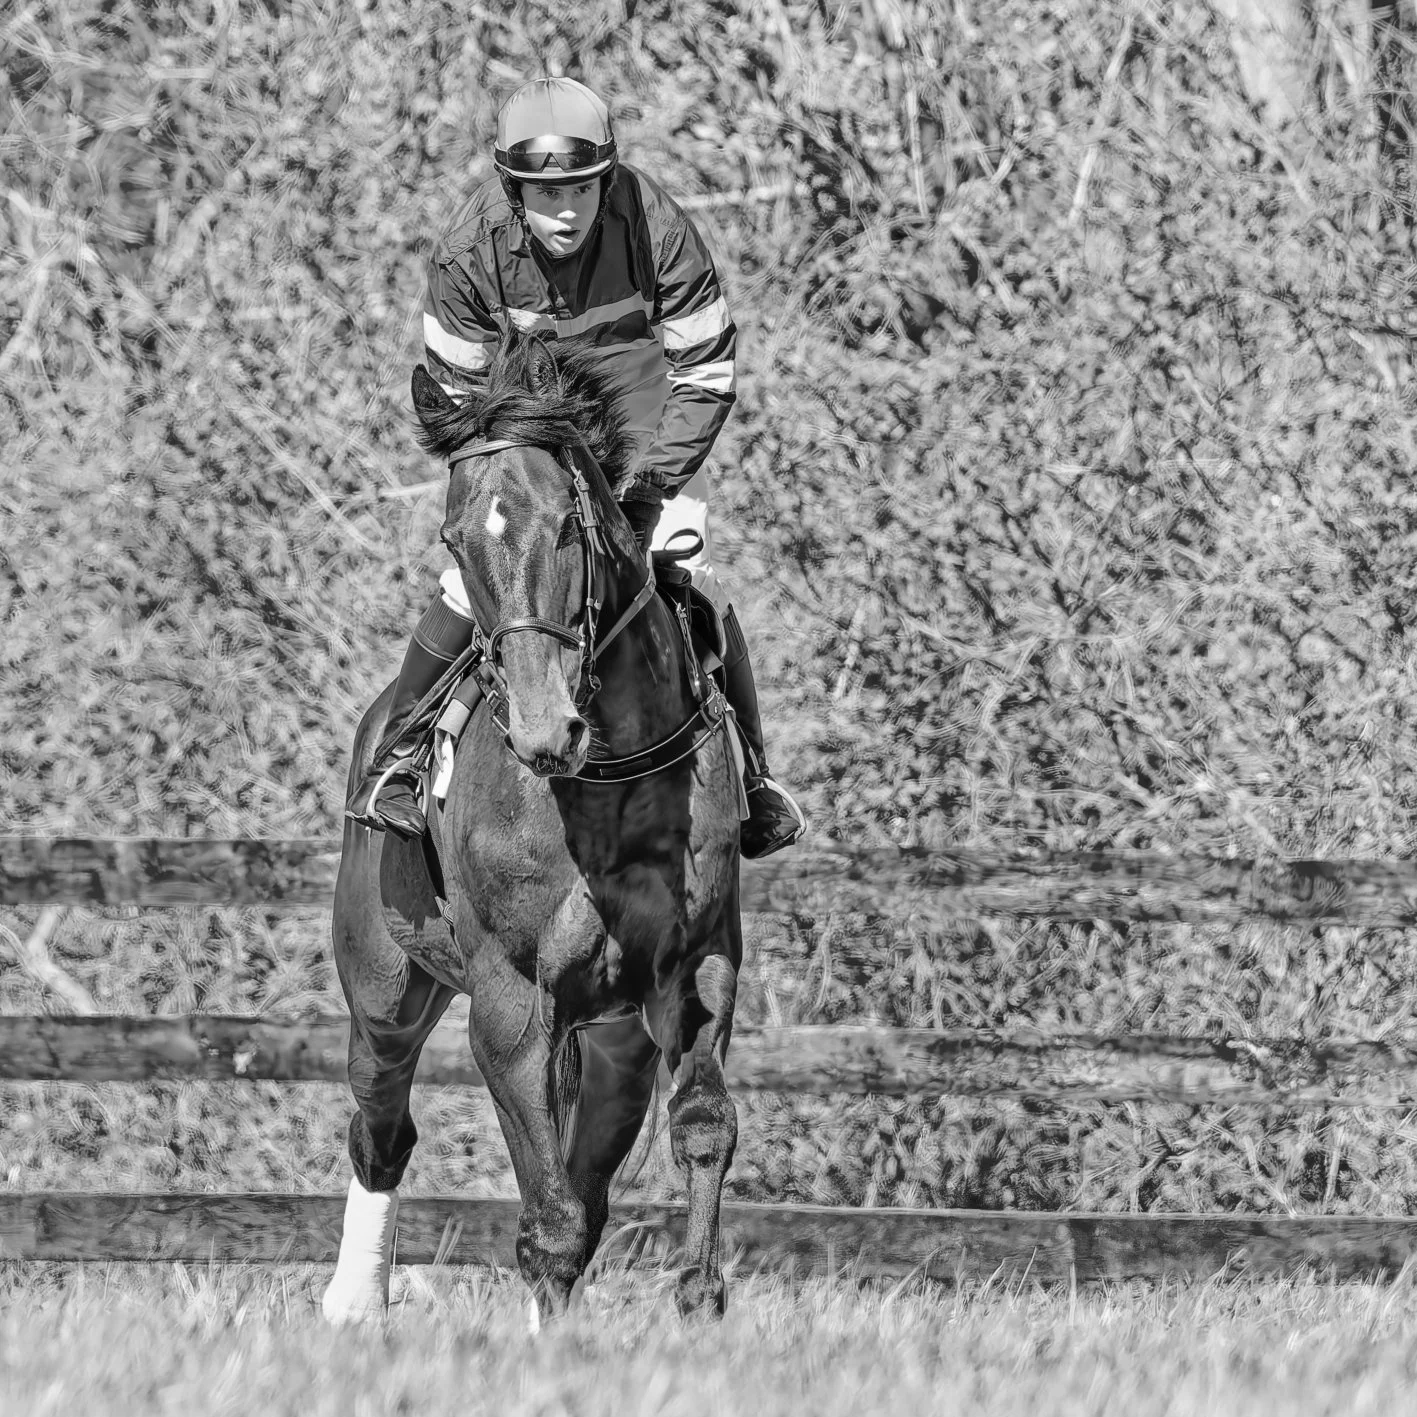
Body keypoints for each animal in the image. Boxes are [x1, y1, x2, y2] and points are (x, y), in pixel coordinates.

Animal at [321, 332, 745, 1326]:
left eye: (566, 527)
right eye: (454, 538)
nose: (546, 729)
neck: (608, 775)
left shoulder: (701, 961)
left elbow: (701, 1124)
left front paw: (700, 1295)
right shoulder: (513, 1003)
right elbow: (546, 1216)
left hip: (618, 1042)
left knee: (586, 1173)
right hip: (383, 988)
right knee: (381, 1127)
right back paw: (354, 1301)